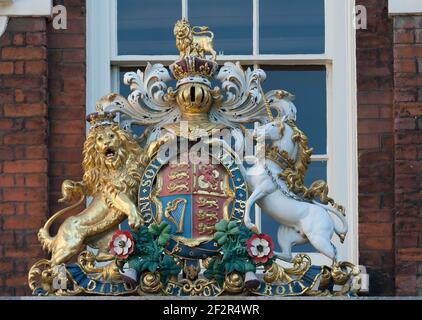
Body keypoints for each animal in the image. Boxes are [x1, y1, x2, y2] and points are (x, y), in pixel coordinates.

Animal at [38, 124, 147, 266]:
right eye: (100, 139)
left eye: (112, 135)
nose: (107, 143)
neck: (117, 166)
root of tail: (57, 235)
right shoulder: (114, 191)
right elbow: (127, 203)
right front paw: (136, 219)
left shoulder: (135, 178)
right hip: (68, 246)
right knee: (51, 263)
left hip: (106, 235)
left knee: (102, 255)